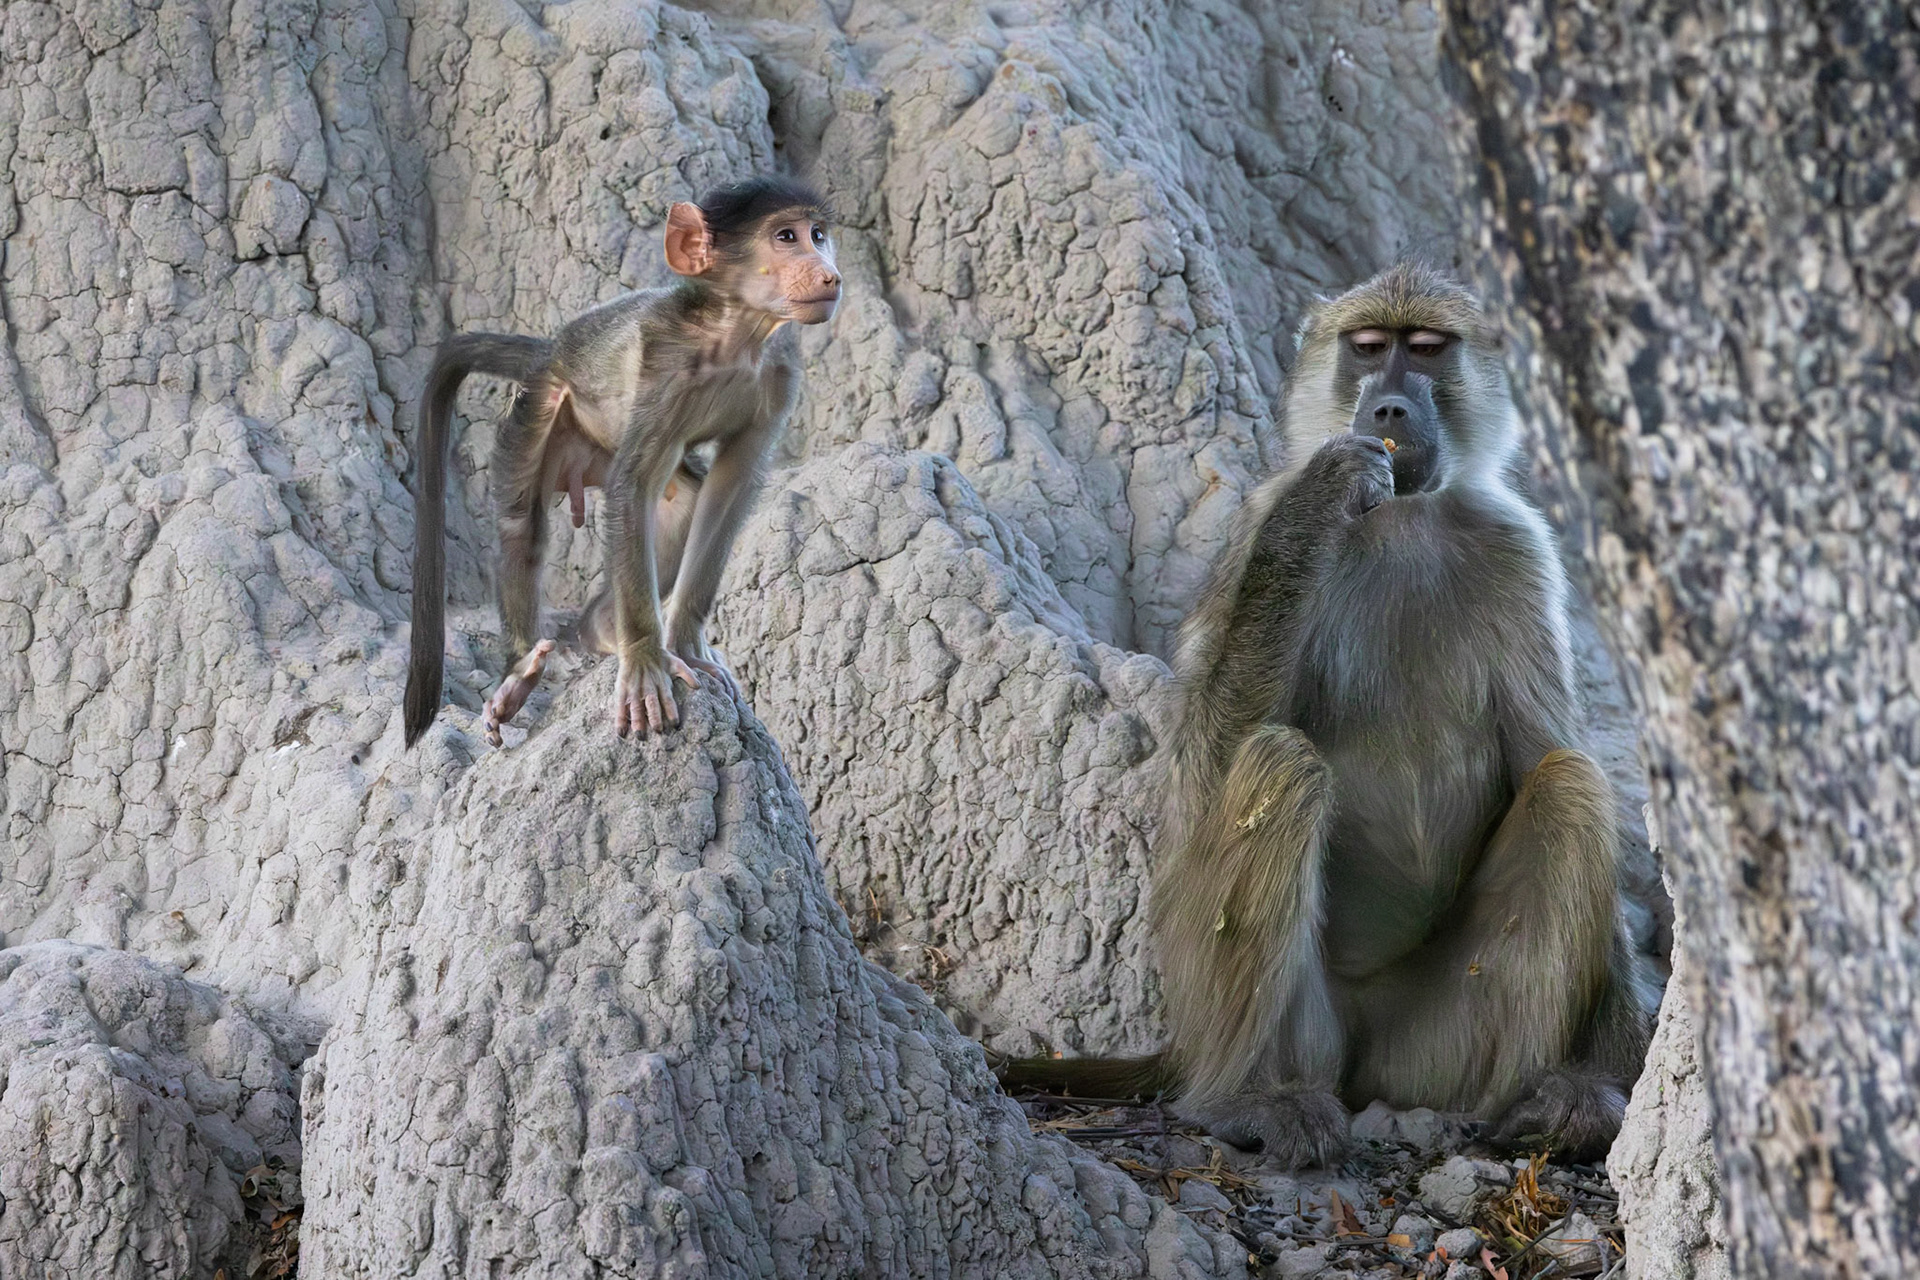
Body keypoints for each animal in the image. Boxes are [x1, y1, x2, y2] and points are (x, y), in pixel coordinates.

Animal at [403, 176, 841, 748]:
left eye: (819, 235)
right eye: (786, 236)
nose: (830, 273)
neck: (732, 334)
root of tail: (552, 348)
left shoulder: (779, 373)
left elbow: (728, 489)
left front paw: (684, 643)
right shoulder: (666, 366)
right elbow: (631, 486)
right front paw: (644, 660)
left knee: (681, 503)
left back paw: (600, 628)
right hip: (540, 406)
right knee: (523, 524)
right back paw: (521, 672)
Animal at [999, 264, 1652, 1168]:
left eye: (1426, 348)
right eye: (1368, 348)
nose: (1389, 410)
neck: (1406, 516)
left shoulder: (1520, 549)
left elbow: (1542, 753)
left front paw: (1610, 1075)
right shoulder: (1254, 524)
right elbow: (1203, 768)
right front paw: (1322, 499)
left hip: (1433, 1050)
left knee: (1570, 784)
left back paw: (1538, 1102)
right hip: (1252, 1000)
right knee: (1281, 764)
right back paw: (1247, 1100)